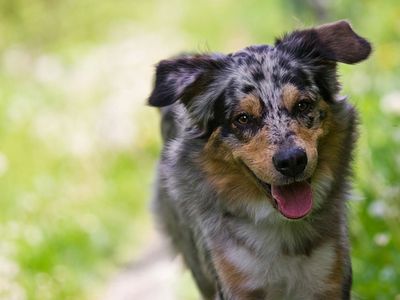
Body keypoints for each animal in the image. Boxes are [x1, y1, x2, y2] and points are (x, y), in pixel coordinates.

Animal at [147, 19, 372, 298]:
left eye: (303, 105)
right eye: (243, 118)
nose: (292, 161)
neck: (282, 229)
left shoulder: (330, 275)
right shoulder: (234, 281)